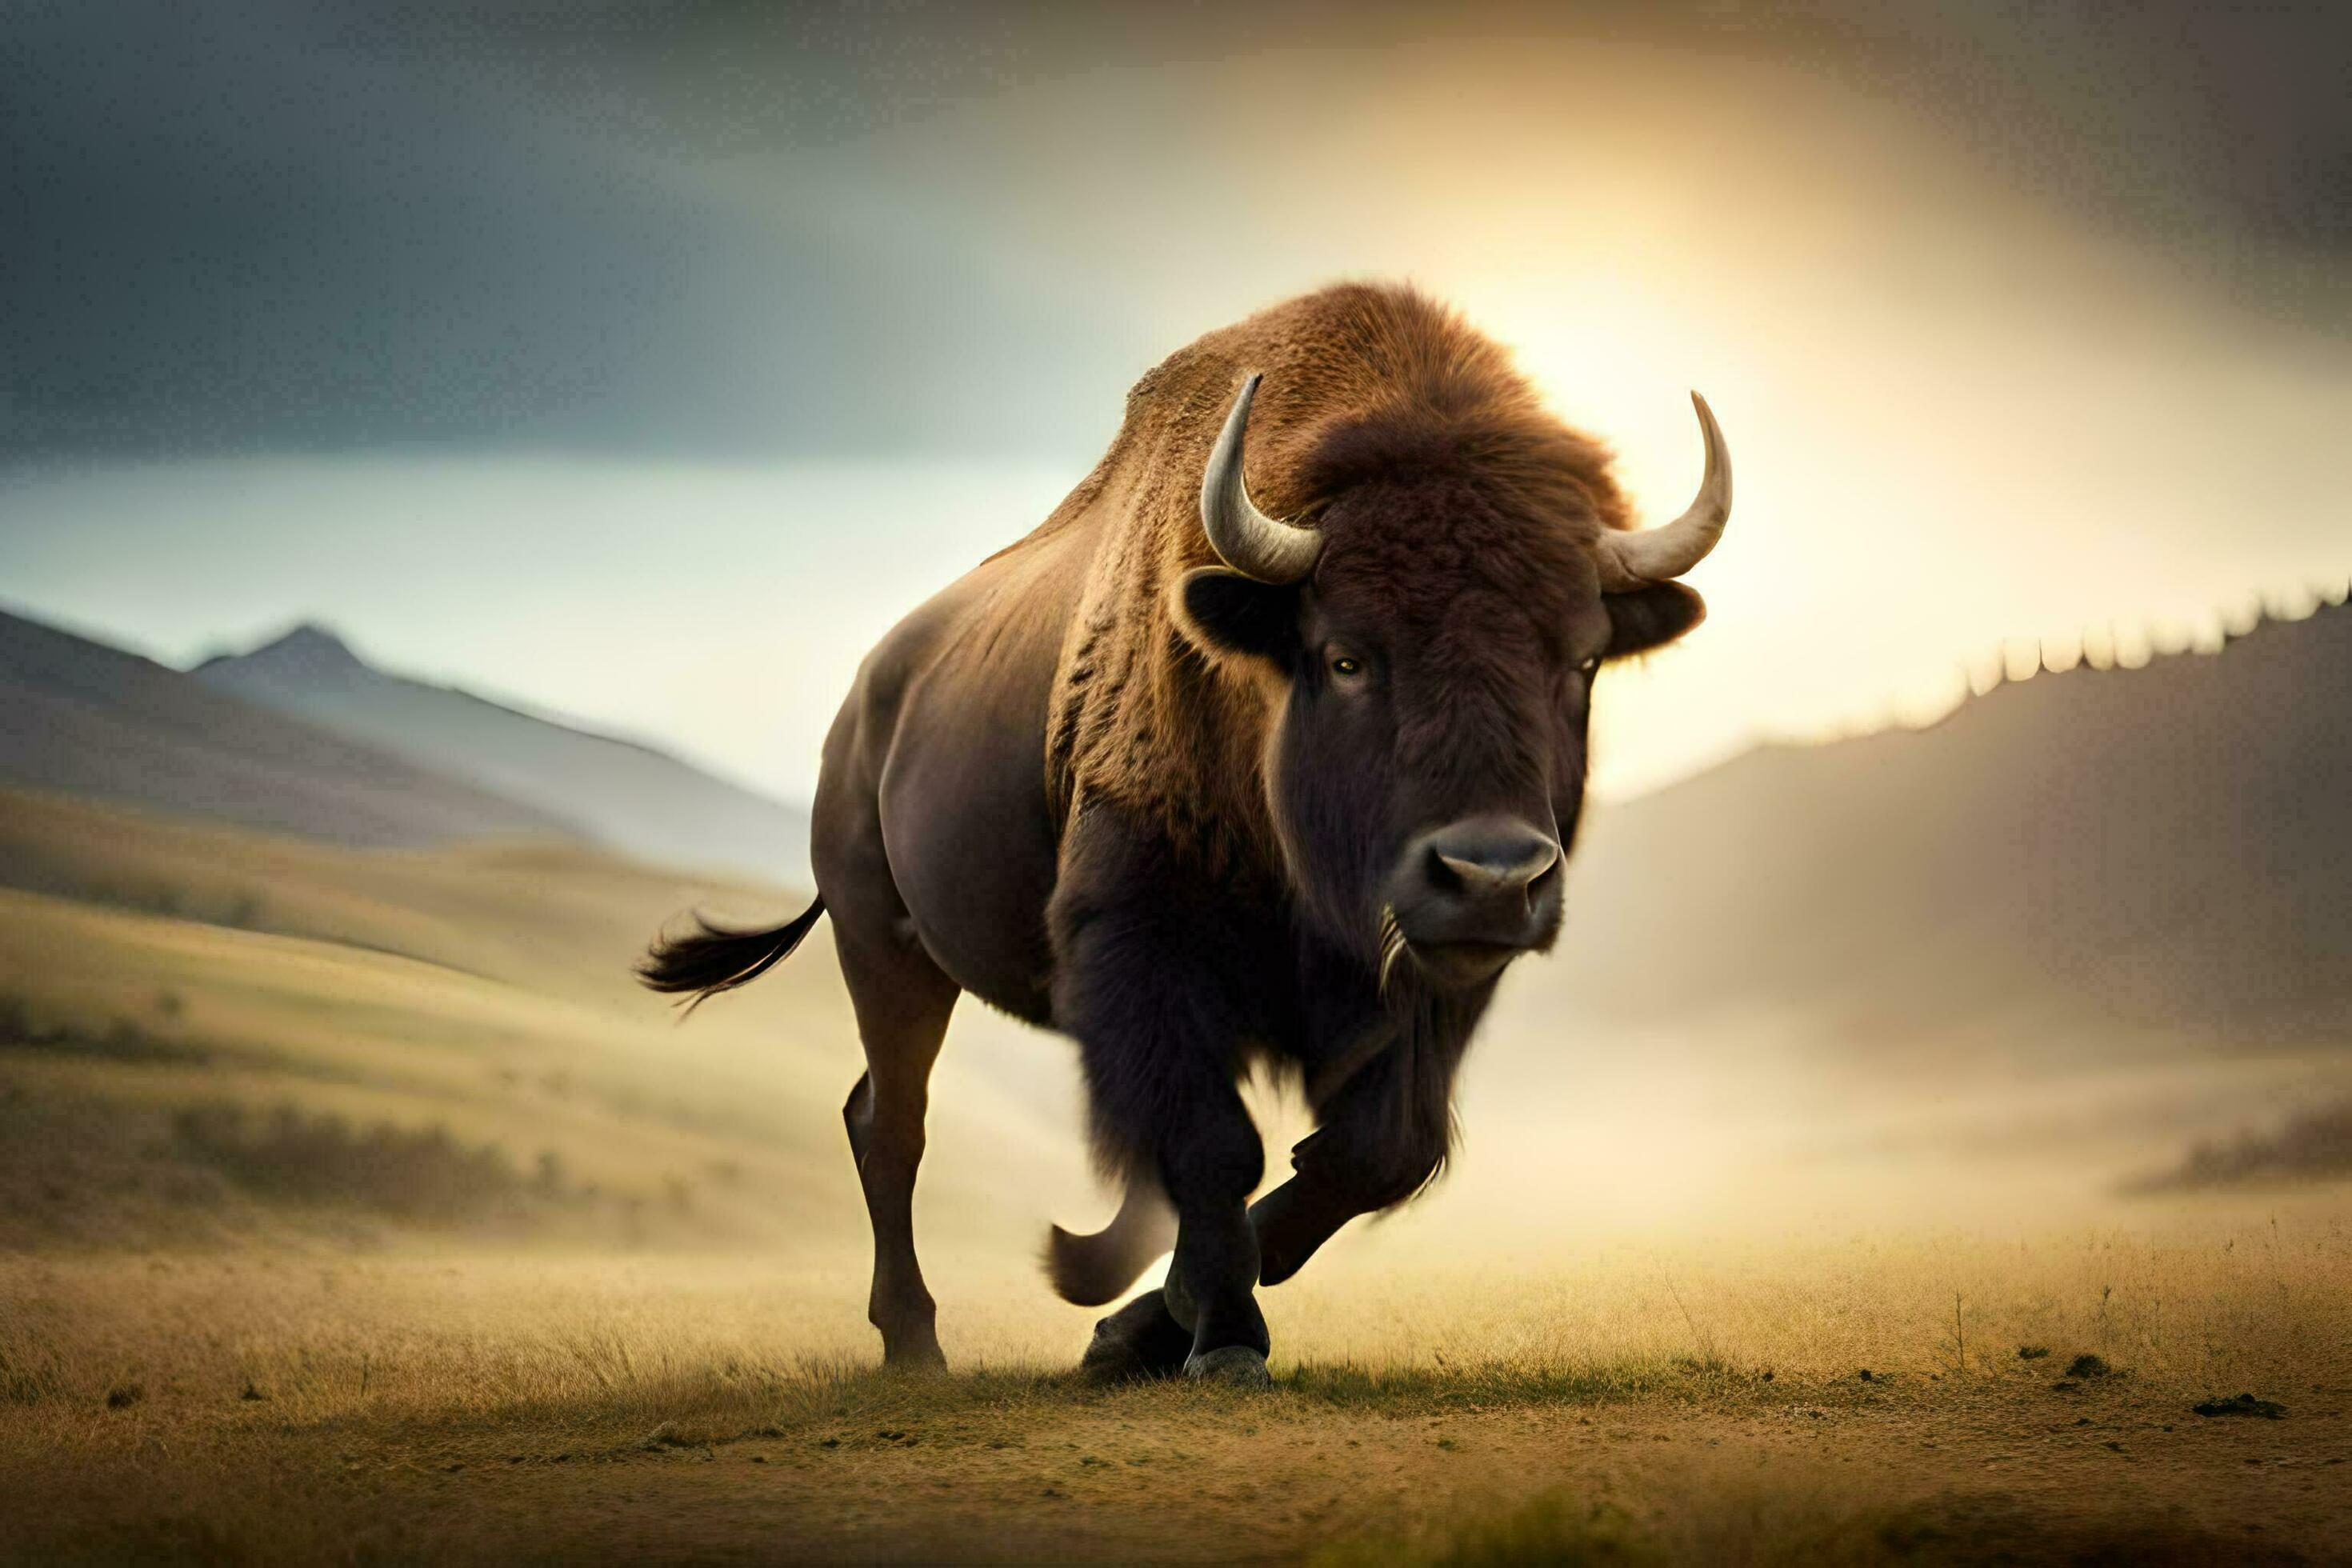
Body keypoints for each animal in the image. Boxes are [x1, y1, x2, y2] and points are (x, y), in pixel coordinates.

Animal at [641, 283, 1732, 1384]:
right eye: (1344, 655)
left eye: (1581, 660)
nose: (1494, 874)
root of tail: (867, 701)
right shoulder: (1147, 946)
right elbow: (1216, 1142)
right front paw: (1214, 1335)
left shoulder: (1432, 980)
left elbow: (1380, 1148)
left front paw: (1143, 1321)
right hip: (887, 947)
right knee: (892, 1124)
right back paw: (916, 1344)